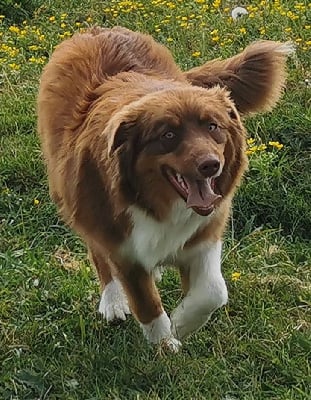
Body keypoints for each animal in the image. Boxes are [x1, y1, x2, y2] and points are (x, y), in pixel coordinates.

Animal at [37, 26, 294, 352]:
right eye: (168, 135)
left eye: (213, 126)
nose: (211, 165)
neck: (159, 204)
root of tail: (98, 29)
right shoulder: (122, 247)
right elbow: (146, 302)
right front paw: (164, 345)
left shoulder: (204, 231)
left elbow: (213, 291)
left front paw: (182, 323)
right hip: (74, 194)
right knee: (96, 251)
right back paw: (113, 300)